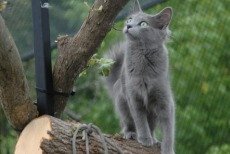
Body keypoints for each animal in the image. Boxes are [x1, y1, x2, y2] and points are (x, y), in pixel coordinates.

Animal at [105, 0, 174, 153]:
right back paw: (131, 134)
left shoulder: (164, 99)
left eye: (143, 24)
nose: (128, 26)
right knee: (127, 123)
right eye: (129, 19)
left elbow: (169, 128)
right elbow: (140, 120)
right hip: (122, 103)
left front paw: (167, 148)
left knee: (152, 126)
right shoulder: (133, 95)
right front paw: (144, 139)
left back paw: (155, 140)